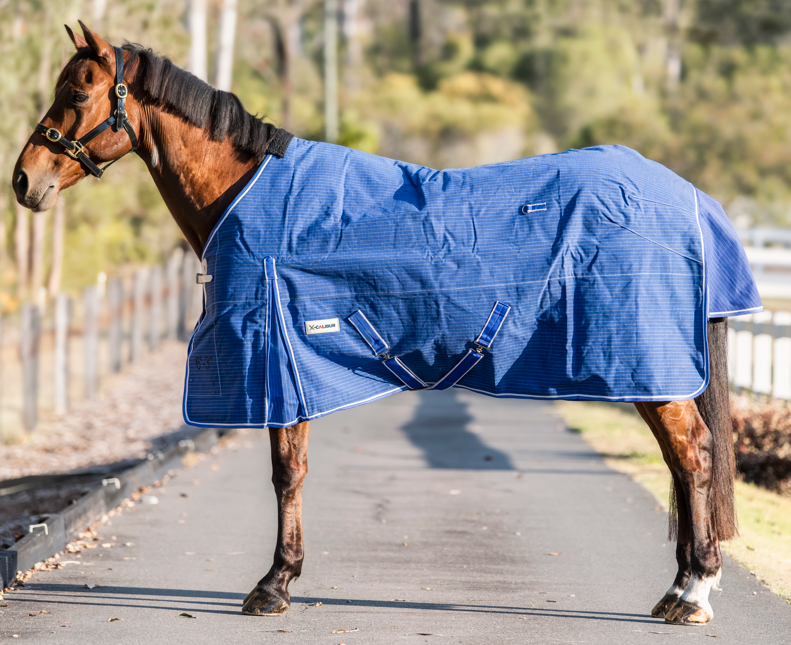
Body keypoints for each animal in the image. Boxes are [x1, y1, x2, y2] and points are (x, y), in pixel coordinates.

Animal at [13, 22, 758, 625]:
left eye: (77, 92)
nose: (24, 180)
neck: (249, 194)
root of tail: (691, 199)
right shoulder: (291, 369)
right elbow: (294, 470)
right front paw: (282, 578)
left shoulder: (277, 361)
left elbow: (287, 472)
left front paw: (273, 585)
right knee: (681, 461)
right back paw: (679, 587)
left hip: (648, 366)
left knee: (693, 455)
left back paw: (693, 593)